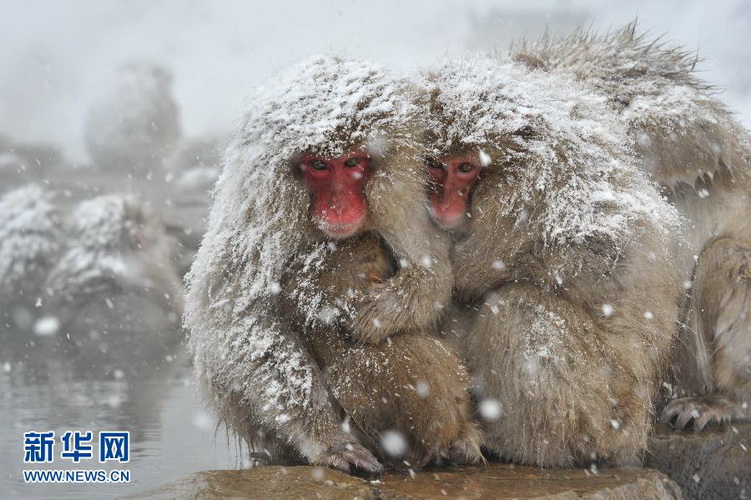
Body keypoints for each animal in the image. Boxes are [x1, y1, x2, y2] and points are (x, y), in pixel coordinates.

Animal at [188, 56, 478, 474]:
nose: (339, 205)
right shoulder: (264, 202)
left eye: (353, 162)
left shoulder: (403, 194)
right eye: (320, 165)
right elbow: (238, 313)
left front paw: (381, 311)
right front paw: (329, 440)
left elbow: (433, 272)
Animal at [420, 56, 684, 466]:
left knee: (520, 308)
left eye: (465, 168)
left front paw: (473, 270)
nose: (444, 203)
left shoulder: (537, 196)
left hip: (605, 406)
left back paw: (517, 444)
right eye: (435, 164)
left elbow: (602, 253)